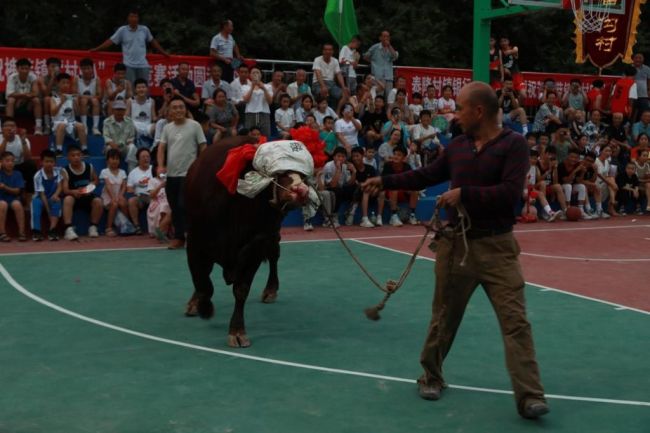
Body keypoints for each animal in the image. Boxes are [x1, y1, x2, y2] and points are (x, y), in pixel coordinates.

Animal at [182, 137, 304, 346]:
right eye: (278, 172)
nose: (300, 189)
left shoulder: (255, 247)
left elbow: (241, 289)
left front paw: (237, 331)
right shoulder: (196, 242)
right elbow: (203, 282)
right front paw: (203, 307)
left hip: (272, 235)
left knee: (274, 254)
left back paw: (271, 289)